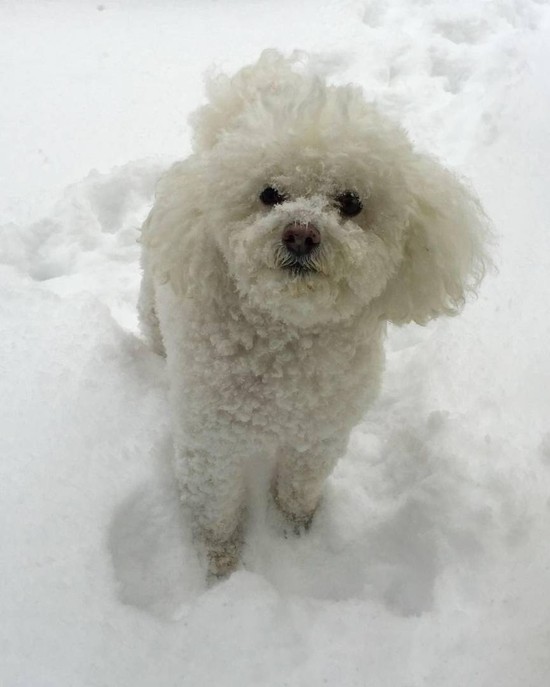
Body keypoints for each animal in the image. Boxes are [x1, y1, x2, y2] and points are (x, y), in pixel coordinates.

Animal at [138, 50, 489, 577]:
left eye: (351, 202)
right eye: (268, 194)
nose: (301, 233)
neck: (289, 338)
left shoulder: (319, 435)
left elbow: (298, 487)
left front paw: (293, 530)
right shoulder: (212, 440)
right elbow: (217, 506)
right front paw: (220, 565)